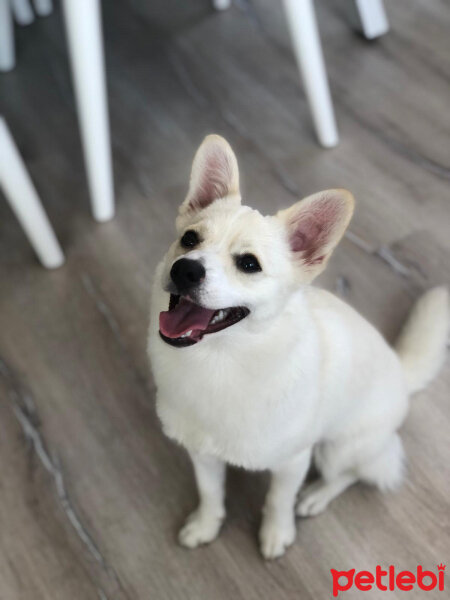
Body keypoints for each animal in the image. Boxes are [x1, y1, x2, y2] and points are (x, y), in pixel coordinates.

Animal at [147, 135, 446, 556]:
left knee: (355, 473)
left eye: (249, 264)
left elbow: (278, 499)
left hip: (336, 449)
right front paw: (206, 525)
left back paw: (316, 496)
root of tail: (401, 373)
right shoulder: (201, 454)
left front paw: (276, 533)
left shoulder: (293, 462)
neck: (221, 362)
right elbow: (210, 492)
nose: (185, 269)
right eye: (189, 239)